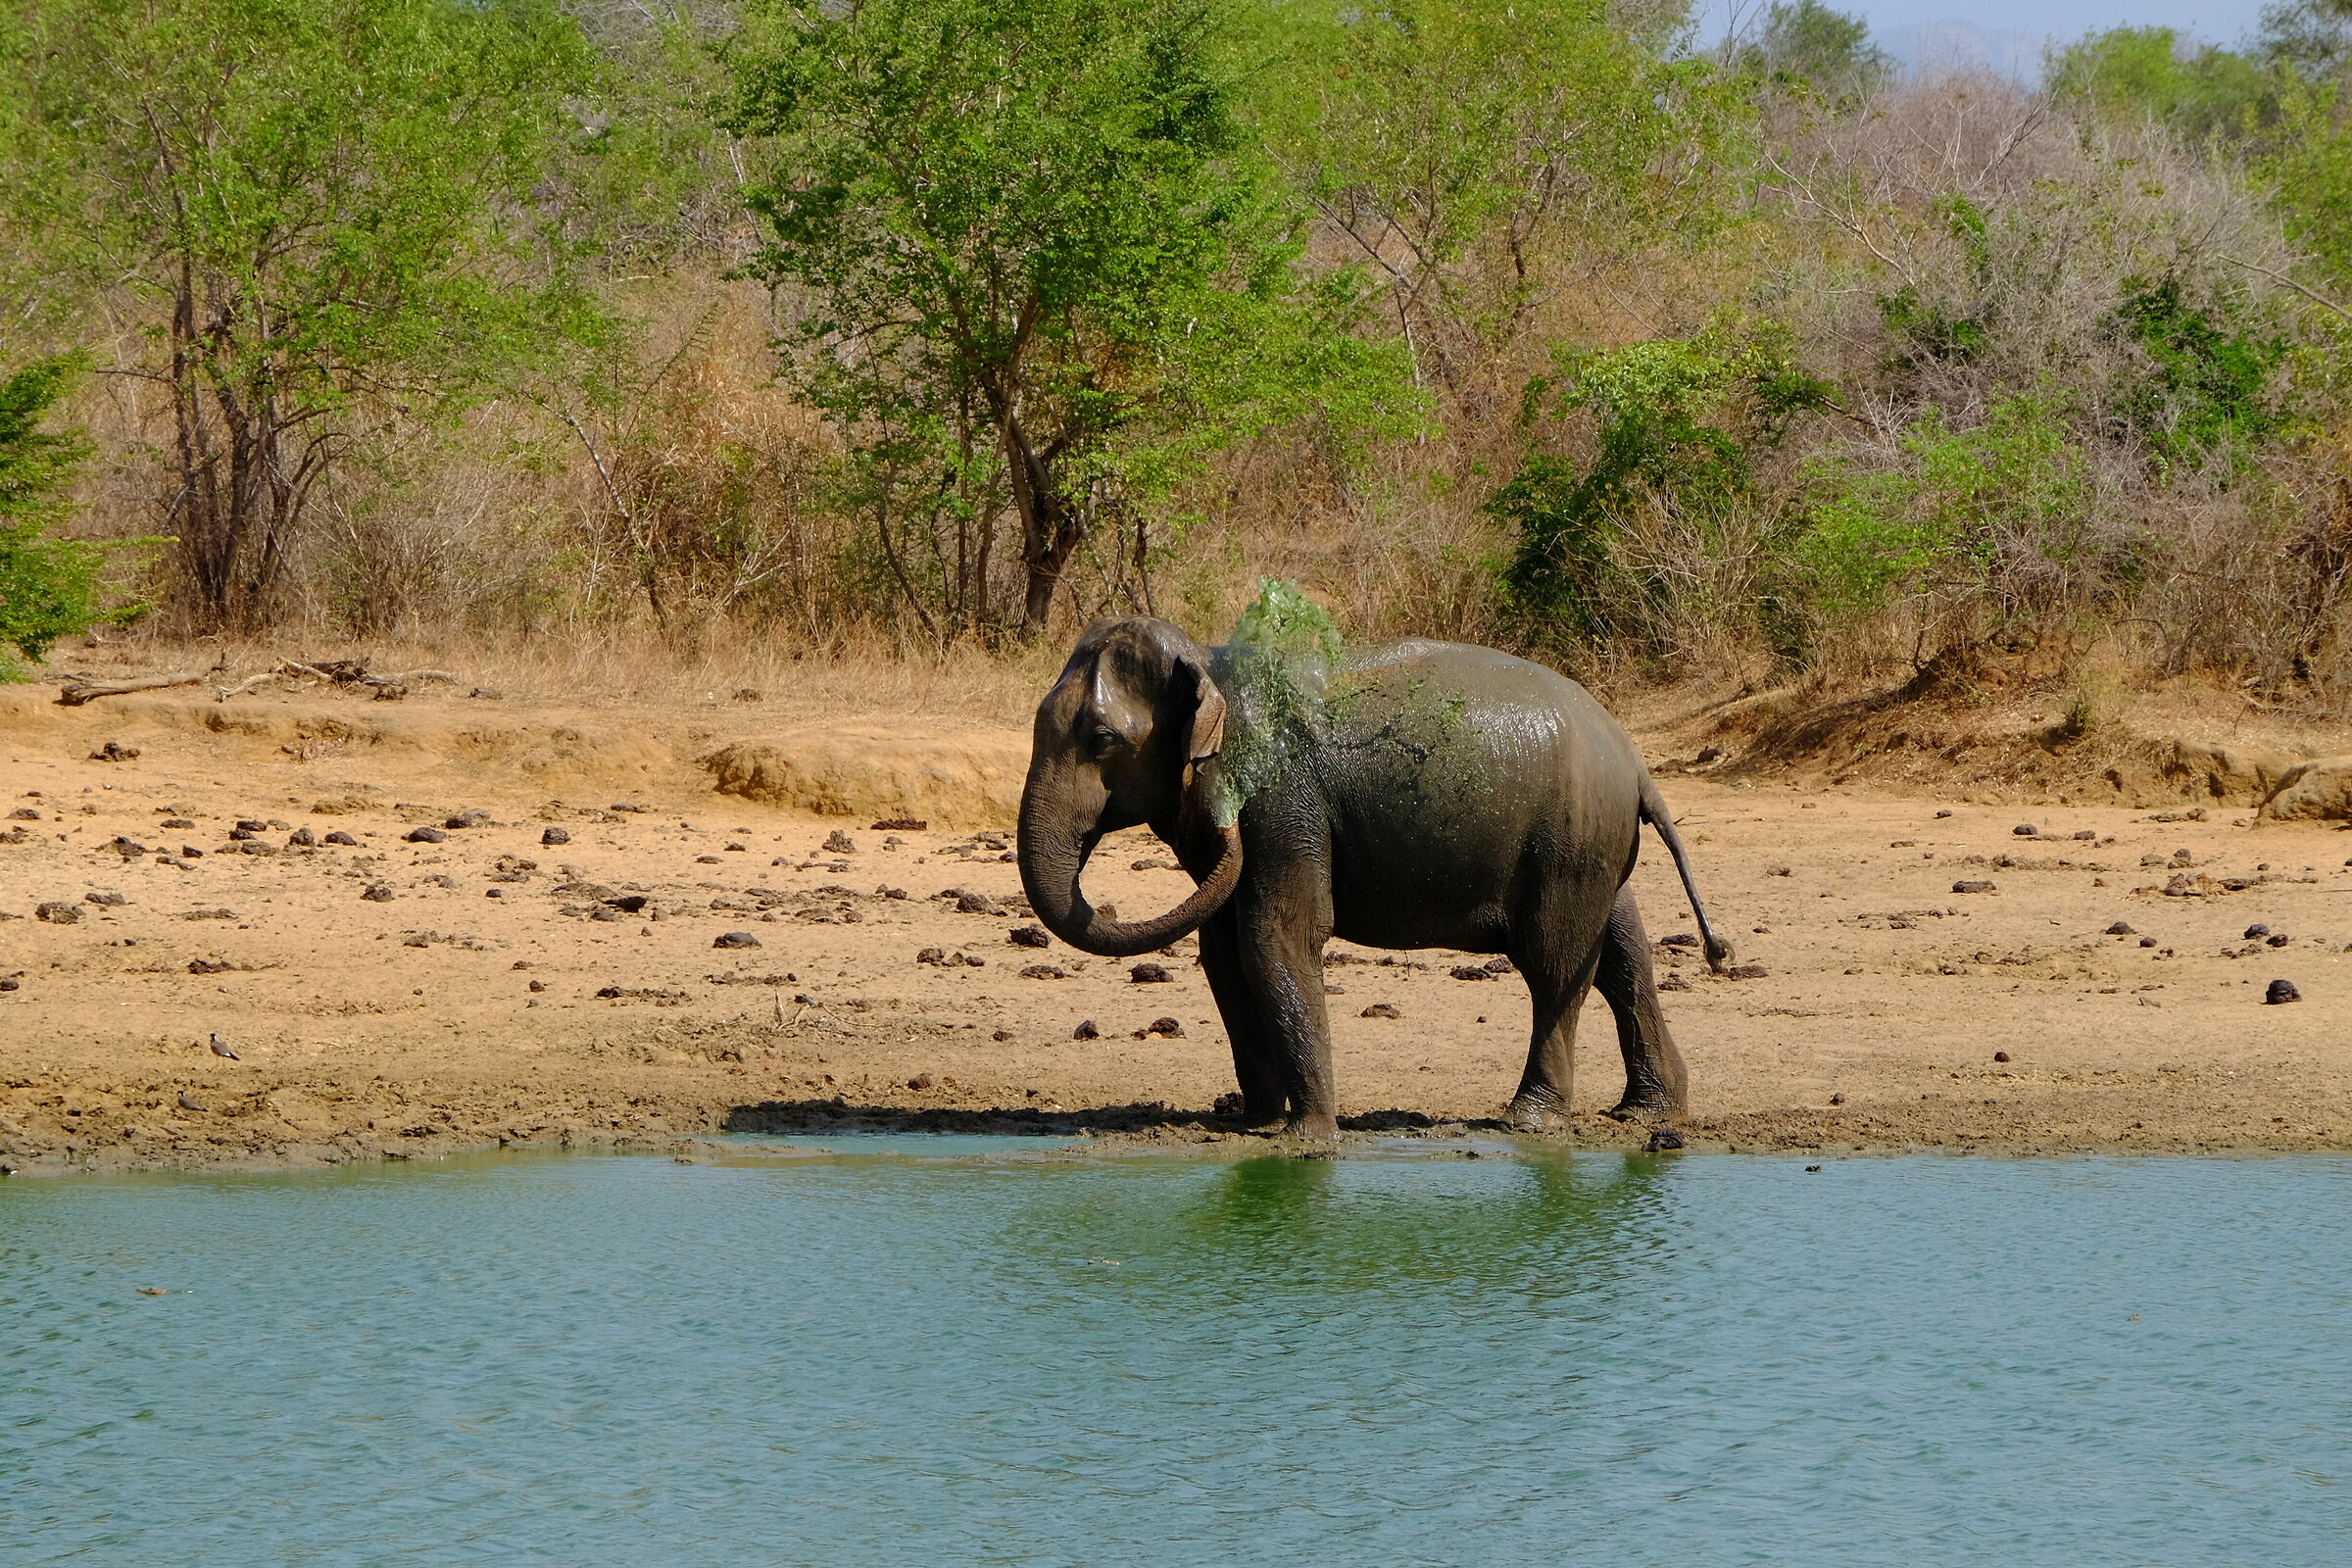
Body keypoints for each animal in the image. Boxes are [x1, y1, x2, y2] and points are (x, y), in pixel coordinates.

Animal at [1015, 615, 1733, 1144]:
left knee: (1554, 966)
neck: (1210, 663)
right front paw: (1256, 1126)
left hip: (1570, 841)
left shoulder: (1282, 804)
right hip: (1593, 844)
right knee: (1621, 954)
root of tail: (1637, 764)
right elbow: (1223, 953)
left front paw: (1306, 1141)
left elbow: (1276, 938)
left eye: (1102, 739)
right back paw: (1648, 1114)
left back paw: (1529, 1122)